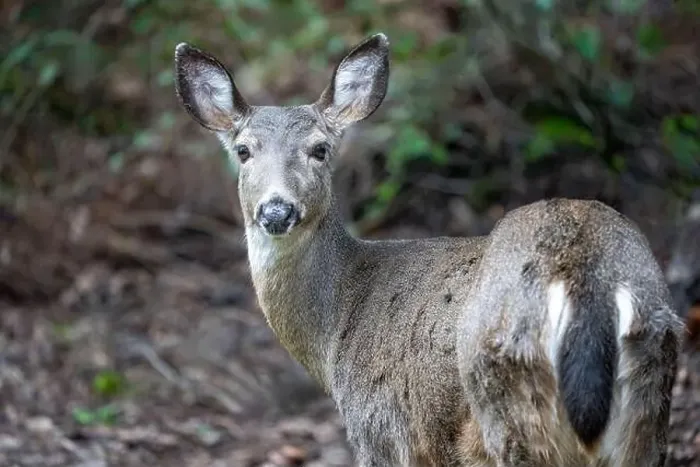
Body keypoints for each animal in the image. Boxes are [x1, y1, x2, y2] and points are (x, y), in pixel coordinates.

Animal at [173, 33, 684, 467]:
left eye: (319, 149)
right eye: (243, 151)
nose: (276, 211)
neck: (335, 326)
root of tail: (584, 276)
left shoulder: (381, 429)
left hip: (506, 393)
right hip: (651, 390)